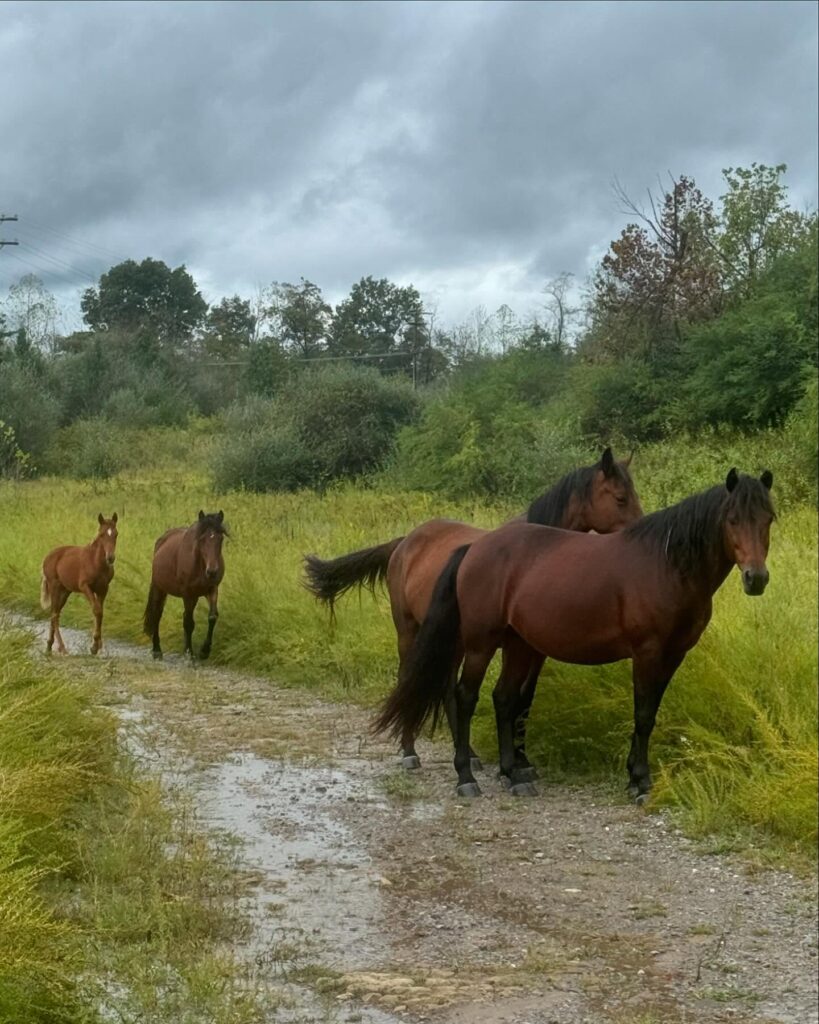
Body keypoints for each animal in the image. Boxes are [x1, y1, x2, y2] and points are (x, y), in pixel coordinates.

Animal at [40, 513, 119, 655]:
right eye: (101, 534)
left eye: (116, 534)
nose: (110, 558)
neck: (95, 562)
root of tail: (47, 557)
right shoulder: (85, 586)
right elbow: (97, 610)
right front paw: (94, 646)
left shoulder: (103, 589)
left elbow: (100, 612)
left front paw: (98, 645)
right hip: (54, 587)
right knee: (54, 615)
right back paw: (60, 647)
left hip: (65, 591)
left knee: (56, 613)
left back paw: (51, 646)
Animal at [143, 510, 227, 660]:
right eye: (202, 539)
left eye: (220, 538)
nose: (212, 571)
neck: (200, 565)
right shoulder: (188, 594)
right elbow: (189, 622)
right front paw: (189, 653)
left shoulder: (212, 589)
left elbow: (212, 617)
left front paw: (204, 651)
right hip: (160, 588)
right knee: (157, 614)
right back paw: (157, 650)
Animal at [305, 447, 642, 779]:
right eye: (620, 498)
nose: (636, 536)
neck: (534, 555)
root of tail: (404, 542)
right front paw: (510, 765)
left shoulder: (534, 651)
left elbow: (524, 699)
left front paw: (522, 761)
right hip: (410, 631)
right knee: (411, 680)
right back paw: (411, 752)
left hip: (454, 641)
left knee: (448, 690)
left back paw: (469, 755)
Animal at [374, 469, 774, 801]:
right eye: (732, 519)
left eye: (768, 518)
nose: (756, 578)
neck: (666, 566)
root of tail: (474, 547)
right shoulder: (647, 652)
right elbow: (643, 714)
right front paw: (640, 782)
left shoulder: (674, 654)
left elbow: (649, 713)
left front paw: (634, 776)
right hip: (478, 643)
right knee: (465, 696)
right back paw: (465, 777)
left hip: (518, 644)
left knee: (504, 698)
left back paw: (513, 776)